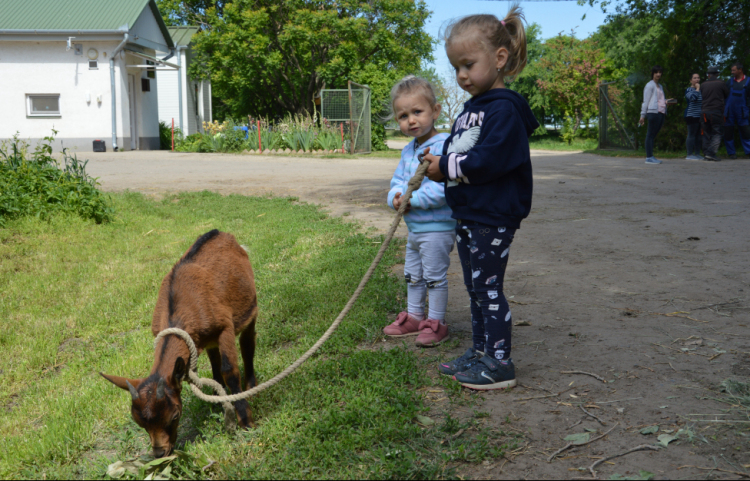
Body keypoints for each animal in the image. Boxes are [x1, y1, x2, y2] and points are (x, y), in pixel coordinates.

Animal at [101, 230, 258, 458]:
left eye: (175, 416)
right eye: (140, 424)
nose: (160, 453)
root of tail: (221, 233)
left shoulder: (225, 328)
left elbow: (230, 370)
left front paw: (246, 422)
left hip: (250, 307)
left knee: (247, 344)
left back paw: (251, 385)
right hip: (210, 339)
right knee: (214, 357)